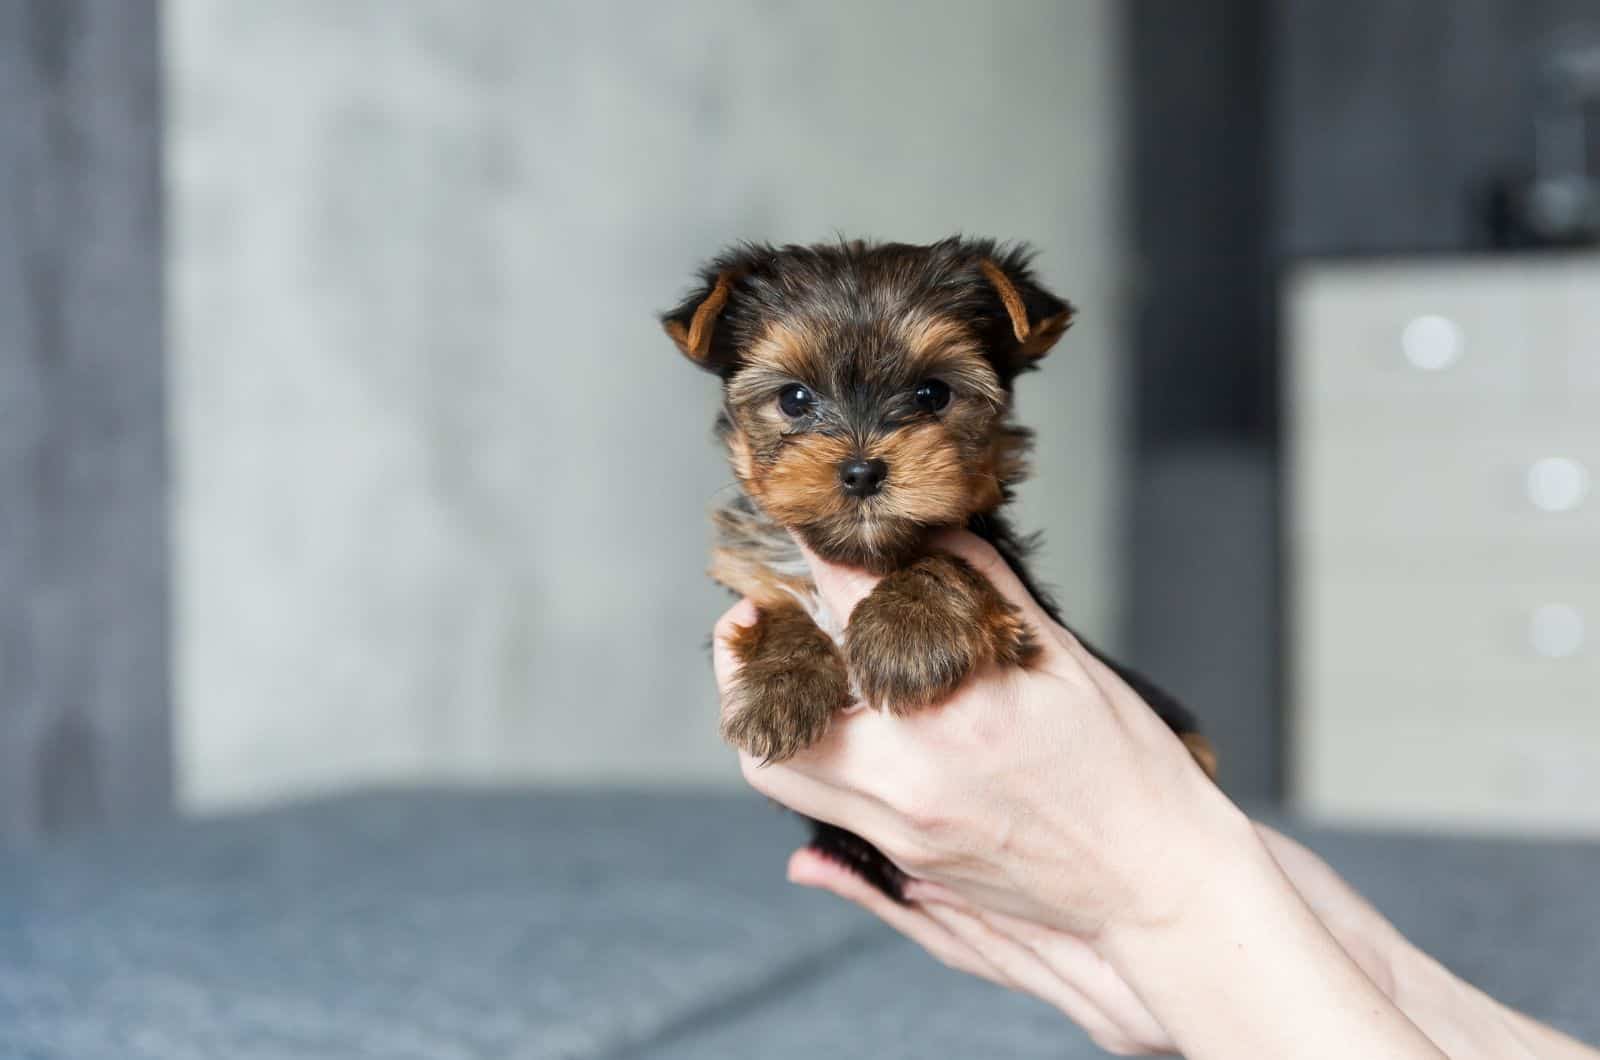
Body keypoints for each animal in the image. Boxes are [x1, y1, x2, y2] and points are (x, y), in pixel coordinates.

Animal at [662, 236, 1209, 903]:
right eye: (794, 398)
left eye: (932, 394)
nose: (861, 471)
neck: (867, 554)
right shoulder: (753, 573)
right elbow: (780, 608)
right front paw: (779, 687)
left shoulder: (1009, 582)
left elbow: (944, 555)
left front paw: (906, 635)